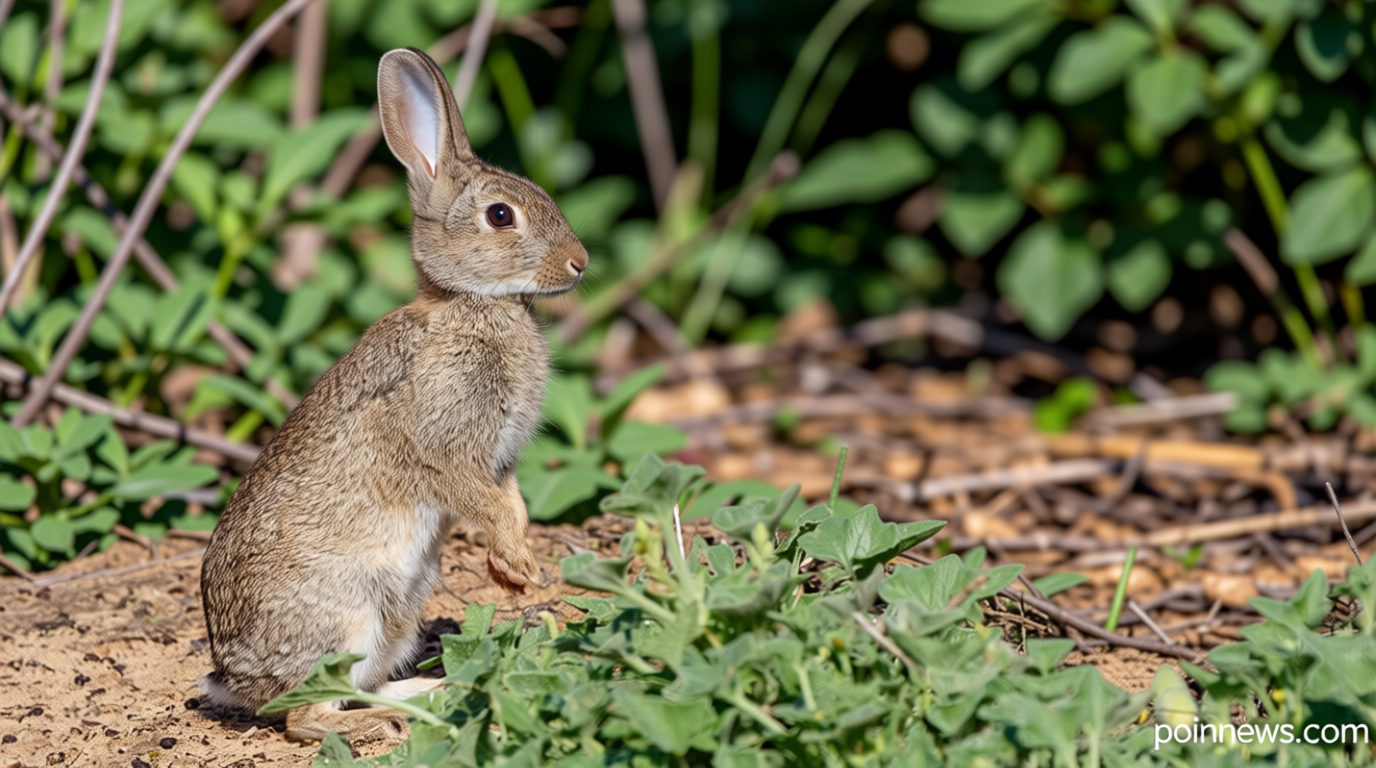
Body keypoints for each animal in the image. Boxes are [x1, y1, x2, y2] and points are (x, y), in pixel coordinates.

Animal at [199, 46, 588, 743]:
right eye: (500, 215)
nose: (581, 262)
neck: (470, 302)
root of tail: (233, 677)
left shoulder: (501, 461)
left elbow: (511, 502)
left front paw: (514, 571)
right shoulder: (443, 447)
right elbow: (480, 500)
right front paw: (519, 565)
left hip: (399, 610)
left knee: (362, 686)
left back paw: (434, 691)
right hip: (348, 614)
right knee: (307, 716)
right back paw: (389, 721)